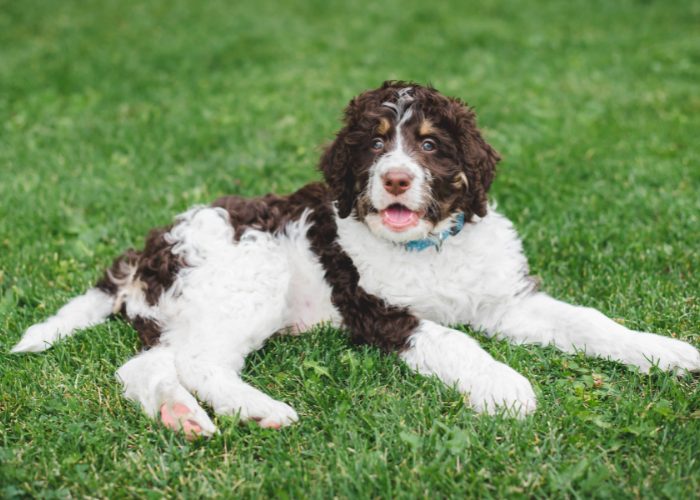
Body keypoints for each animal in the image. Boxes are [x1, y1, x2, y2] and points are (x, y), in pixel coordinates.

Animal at [12, 80, 700, 436]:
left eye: (430, 144)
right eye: (373, 143)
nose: (395, 179)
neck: (428, 246)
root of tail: (150, 249)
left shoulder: (507, 301)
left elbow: (590, 322)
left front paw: (667, 352)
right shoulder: (380, 311)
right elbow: (457, 341)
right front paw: (508, 389)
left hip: (190, 309)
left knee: (145, 366)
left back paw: (182, 416)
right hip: (246, 280)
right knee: (201, 363)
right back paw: (260, 409)